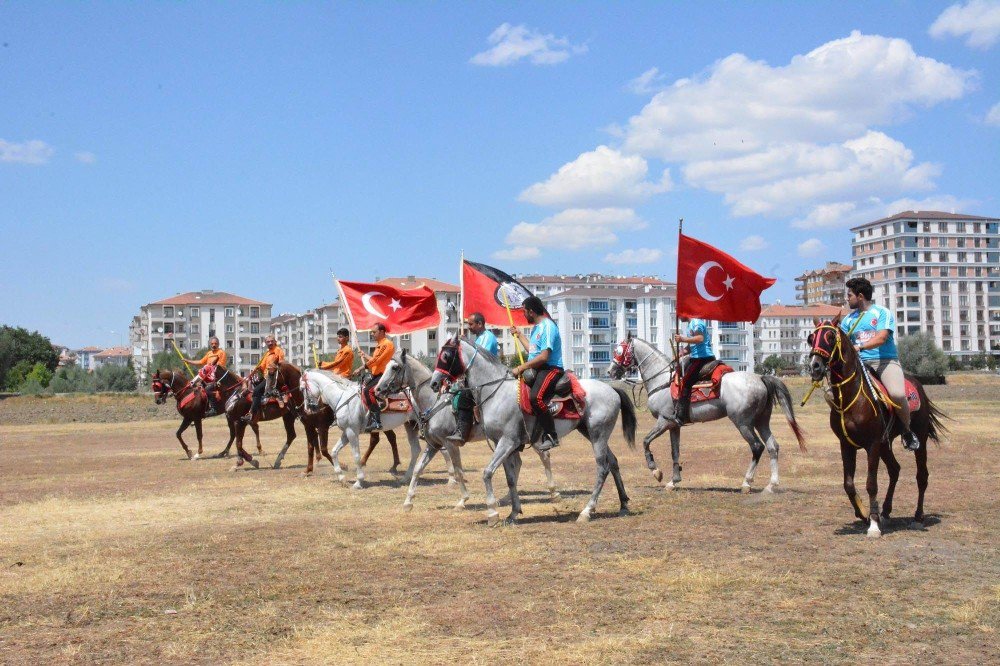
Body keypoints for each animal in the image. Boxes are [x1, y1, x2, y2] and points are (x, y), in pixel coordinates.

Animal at [376, 348, 564, 508]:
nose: (378, 390)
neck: (434, 402)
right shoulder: (433, 444)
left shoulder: (450, 443)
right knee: (517, 462)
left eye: (394, 367)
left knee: (544, 455)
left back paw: (554, 493)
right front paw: (408, 501)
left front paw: (463, 500)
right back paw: (508, 498)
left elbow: (458, 471)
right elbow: (417, 469)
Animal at [428, 332, 632, 524]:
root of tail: (612, 390)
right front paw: (513, 512)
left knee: (602, 468)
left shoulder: (508, 442)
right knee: (613, 462)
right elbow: (510, 478)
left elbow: (487, 473)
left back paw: (587, 511)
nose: (434, 383)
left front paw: (493, 513)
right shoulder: (503, 444)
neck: (496, 392)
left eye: (446, 355)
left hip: (598, 435)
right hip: (591, 432)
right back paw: (623, 504)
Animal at [600, 332, 804, 492]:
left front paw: (656, 472)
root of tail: (761, 378)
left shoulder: (663, 421)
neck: (662, 380)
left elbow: (645, 441)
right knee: (772, 446)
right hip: (761, 421)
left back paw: (746, 482)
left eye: (619, 351)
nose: (610, 371)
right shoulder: (674, 425)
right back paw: (771, 484)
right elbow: (675, 452)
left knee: (757, 447)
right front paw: (673, 482)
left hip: (743, 422)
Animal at [804, 314, 944, 536]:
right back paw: (885, 512)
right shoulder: (846, 445)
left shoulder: (872, 444)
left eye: (830, 337)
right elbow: (848, 484)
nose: (815, 366)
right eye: (811, 338)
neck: (851, 396)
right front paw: (864, 514)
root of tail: (919, 385)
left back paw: (917, 518)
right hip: (886, 444)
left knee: (922, 476)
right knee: (895, 469)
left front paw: (874, 525)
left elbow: (871, 483)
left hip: (918, 439)